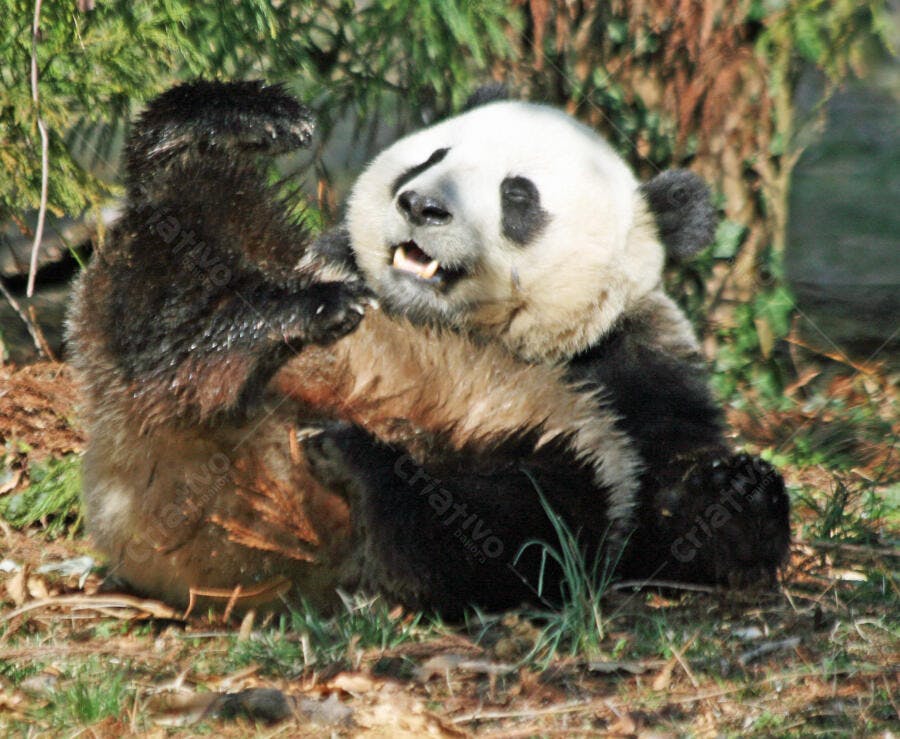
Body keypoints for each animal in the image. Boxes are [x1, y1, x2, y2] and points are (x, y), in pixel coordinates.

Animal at [67, 80, 790, 617]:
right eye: (429, 158)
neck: (471, 329)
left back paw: (363, 460)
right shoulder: (334, 257)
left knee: (524, 513)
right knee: (178, 248)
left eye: (517, 195)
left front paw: (739, 493)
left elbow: (658, 515)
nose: (421, 206)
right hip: (173, 313)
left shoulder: (630, 366)